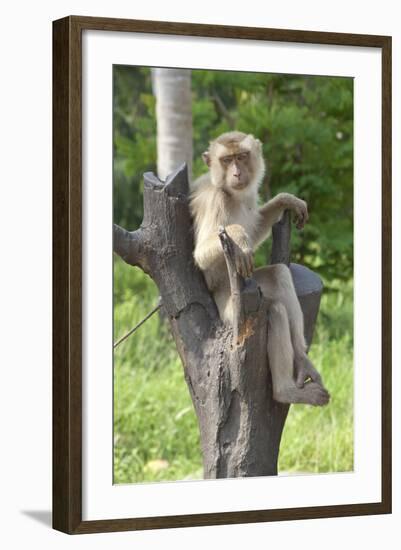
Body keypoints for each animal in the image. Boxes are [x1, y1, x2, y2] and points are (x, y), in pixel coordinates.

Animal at [190, 132, 328, 408]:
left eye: (242, 157)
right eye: (226, 160)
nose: (236, 173)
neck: (231, 194)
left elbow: (256, 231)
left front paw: (286, 200)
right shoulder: (216, 201)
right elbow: (201, 254)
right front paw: (239, 236)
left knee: (279, 275)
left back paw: (301, 359)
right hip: (231, 311)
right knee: (275, 310)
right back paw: (285, 392)